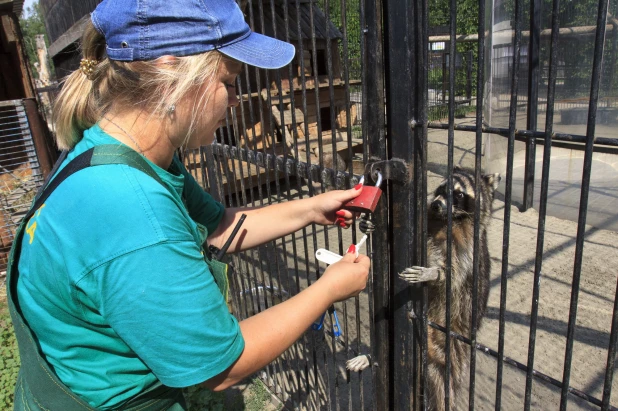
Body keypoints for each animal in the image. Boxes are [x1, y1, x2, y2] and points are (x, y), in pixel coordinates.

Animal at [398, 167, 498, 411]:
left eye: (460, 194)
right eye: (441, 189)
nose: (436, 204)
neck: (447, 219)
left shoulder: (469, 245)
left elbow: (452, 273)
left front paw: (433, 273)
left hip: (452, 336)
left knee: (443, 378)